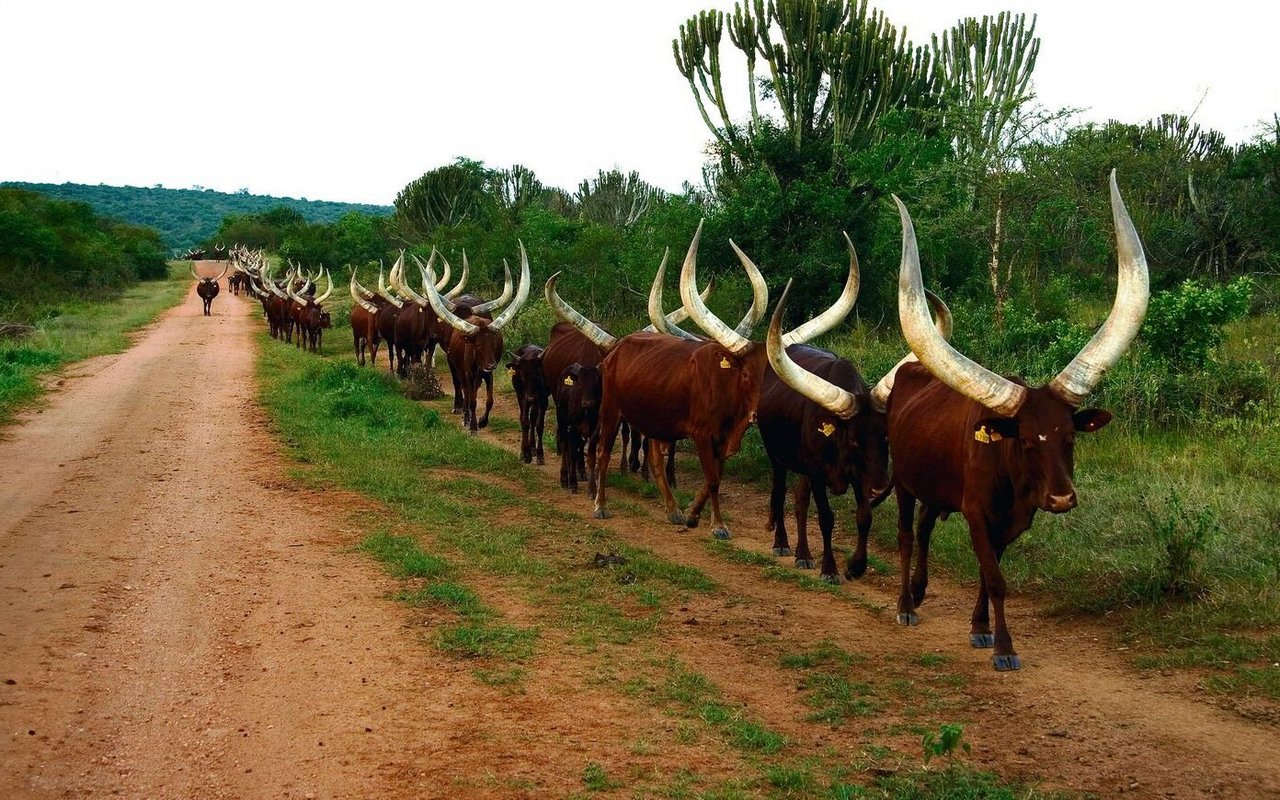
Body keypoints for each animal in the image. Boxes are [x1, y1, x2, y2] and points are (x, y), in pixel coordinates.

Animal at [890, 171, 1152, 670]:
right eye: (1026, 441)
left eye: (1071, 436)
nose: (1062, 498)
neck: (1011, 478)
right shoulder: (976, 512)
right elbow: (995, 578)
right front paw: (1005, 648)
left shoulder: (1014, 521)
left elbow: (986, 571)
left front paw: (981, 628)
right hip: (904, 486)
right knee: (907, 536)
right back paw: (906, 606)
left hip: (936, 490)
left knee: (926, 528)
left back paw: (919, 590)